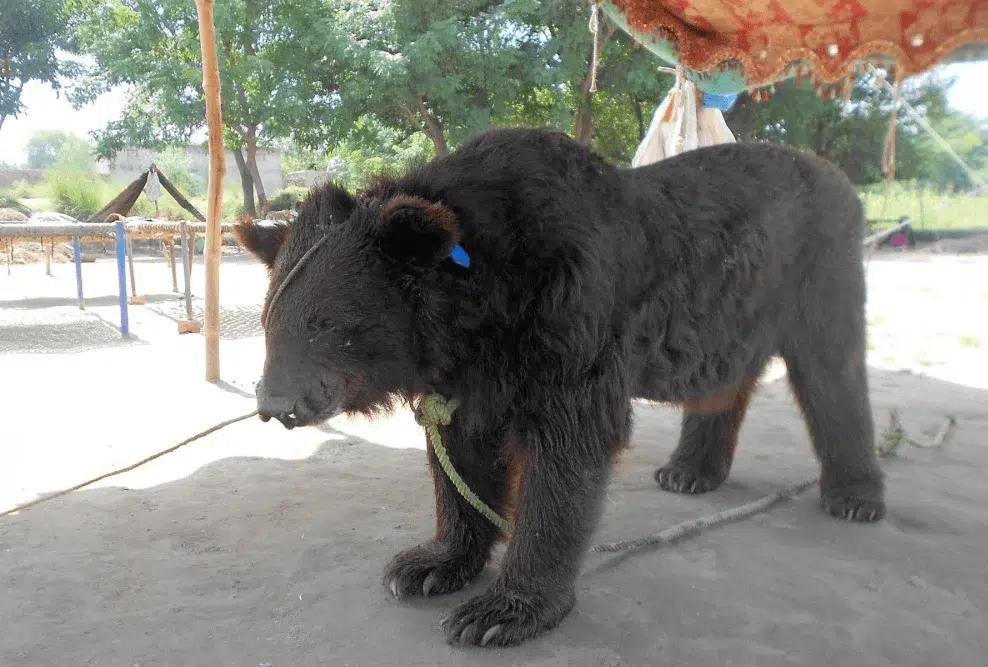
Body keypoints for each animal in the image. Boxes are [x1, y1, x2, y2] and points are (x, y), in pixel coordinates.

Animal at [235, 126, 885, 648]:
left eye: (326, 323)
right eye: (268, 318)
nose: (274, 403)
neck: (482, 307)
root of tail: (842, 179)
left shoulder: (572, 314)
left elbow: (569, 448)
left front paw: (499, 612)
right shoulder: (471, 370)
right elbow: (461, 448)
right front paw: (426, 564)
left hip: (818, 271)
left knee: (834, 372)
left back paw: (854, 495)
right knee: (726, 382)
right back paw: (689, 470)